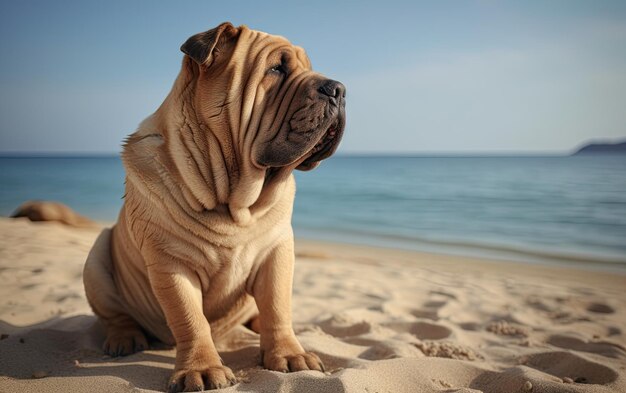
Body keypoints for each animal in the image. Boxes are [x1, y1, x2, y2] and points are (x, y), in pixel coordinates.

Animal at [81, 23, 344, 390]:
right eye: (276, 69)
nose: (339, 89)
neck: (234, 201)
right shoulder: (171, 263)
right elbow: (190, 319)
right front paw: (202, 370)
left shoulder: (276, 251)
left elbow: (277, 306)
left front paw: (290, 356)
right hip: (96, 256)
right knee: (115, 315)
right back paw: (125, 339)